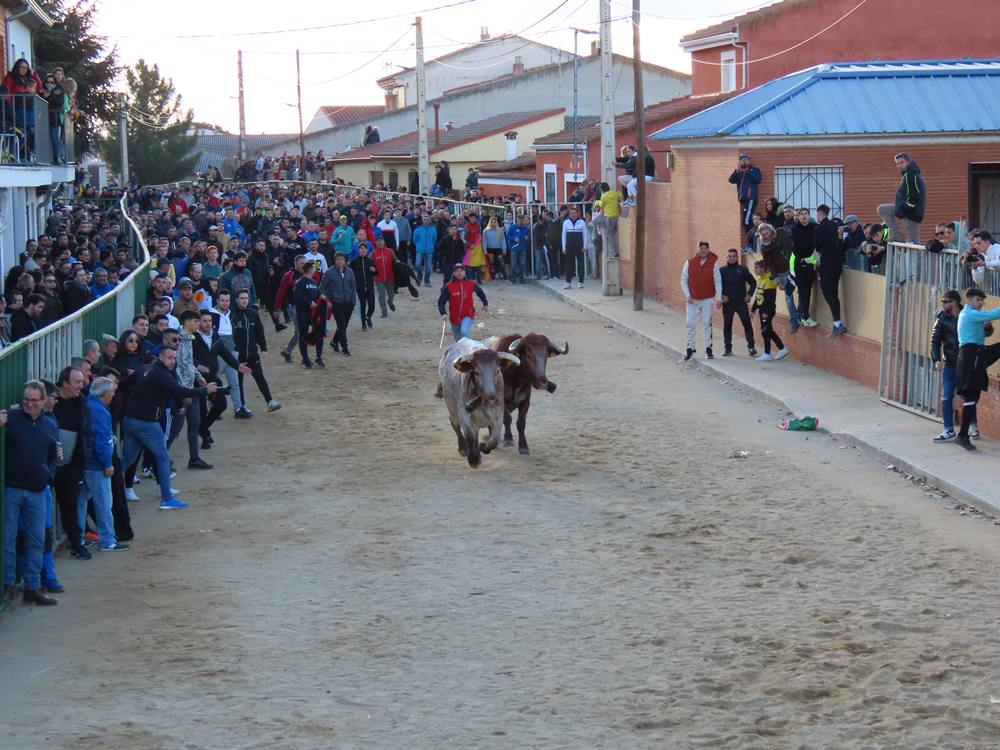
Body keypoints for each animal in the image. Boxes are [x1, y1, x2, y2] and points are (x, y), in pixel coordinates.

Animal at [436, 338, 520, 468]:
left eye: (497, 370)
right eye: (476, 372)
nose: (491, 395)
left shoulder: (498, 415)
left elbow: (493, 440)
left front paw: (483, 447)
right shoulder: (464, 414)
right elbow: (470, 436)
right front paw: (474, 459)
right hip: (450, 404)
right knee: (455, 424)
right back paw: (463, 448)